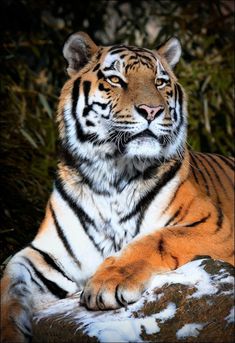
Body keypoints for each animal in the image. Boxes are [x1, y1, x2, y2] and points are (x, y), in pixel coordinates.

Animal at [0, 30, 234, 342]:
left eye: (160, 82)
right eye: (115, 80)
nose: (152, 110)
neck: (112, 174)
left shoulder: (215, 226)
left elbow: (155, 238)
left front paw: (107, 283)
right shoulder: (45, 256)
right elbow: (10, 288)